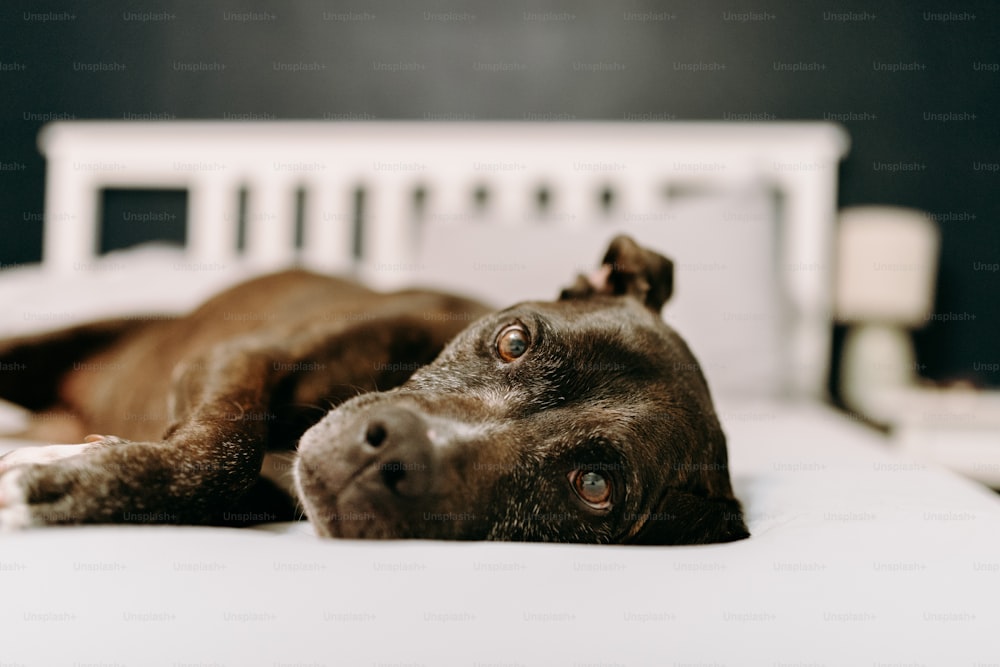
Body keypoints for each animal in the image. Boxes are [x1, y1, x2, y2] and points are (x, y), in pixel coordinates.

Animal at [0, 237, 748, 544]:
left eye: (593, 485)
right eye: (514, 341)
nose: (387, 452)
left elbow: (223, 472)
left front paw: (75, 478)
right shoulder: (241, 355)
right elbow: (226, 443)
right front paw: (74, 478)